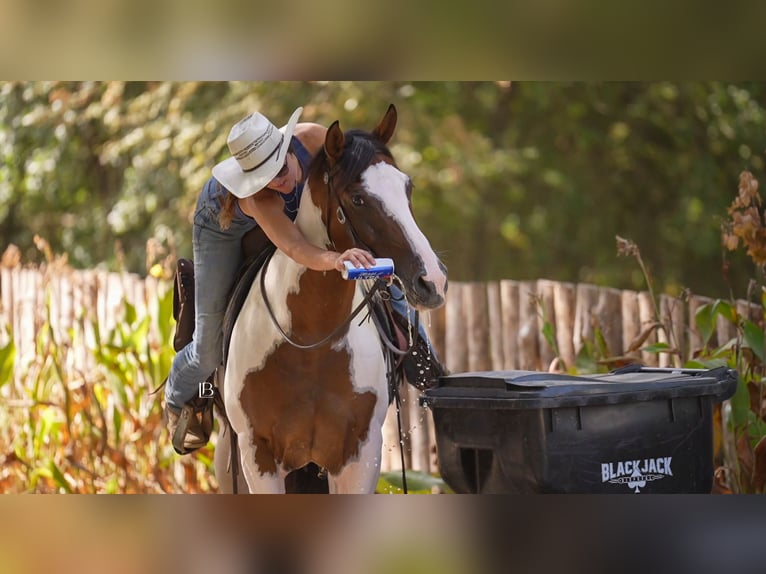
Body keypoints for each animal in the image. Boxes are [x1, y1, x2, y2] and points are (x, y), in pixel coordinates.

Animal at [214, 104, 448, 493]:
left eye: (407, 187)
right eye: (358, 198)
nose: (433, 280)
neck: (311, 342)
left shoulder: (360, 453)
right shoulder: (257, 456)